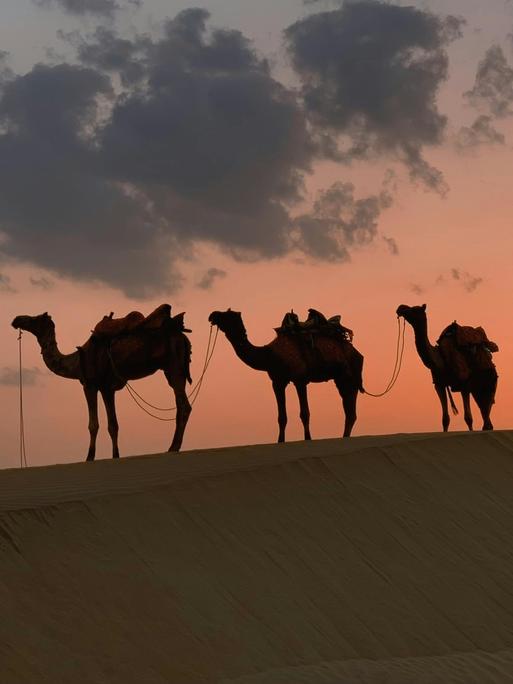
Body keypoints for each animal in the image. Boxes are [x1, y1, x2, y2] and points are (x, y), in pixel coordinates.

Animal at [11, 308, 192, 462]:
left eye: (35, 318)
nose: (16, 319)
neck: (76, 362)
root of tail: (182, 336)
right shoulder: (107, 388)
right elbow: (113, 425)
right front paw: (115, 456)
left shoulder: (89, 385)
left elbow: (93, 425)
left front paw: (89, 457)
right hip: (174, 368)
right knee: (181, 403)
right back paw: (174, 446)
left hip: (174, 365)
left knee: (183, 405)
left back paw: (173, 447)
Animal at [206, 308, 362, 440]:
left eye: (227, 315)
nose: (212, 315)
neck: (270, 355)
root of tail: (355, 351)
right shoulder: (277, 382)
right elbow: (282, 417)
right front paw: (280, 441)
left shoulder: (300, 380)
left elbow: (305, 413)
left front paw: (308, 439)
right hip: (341, 378)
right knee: (349, 410)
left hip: (349, 376)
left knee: (351, 410)